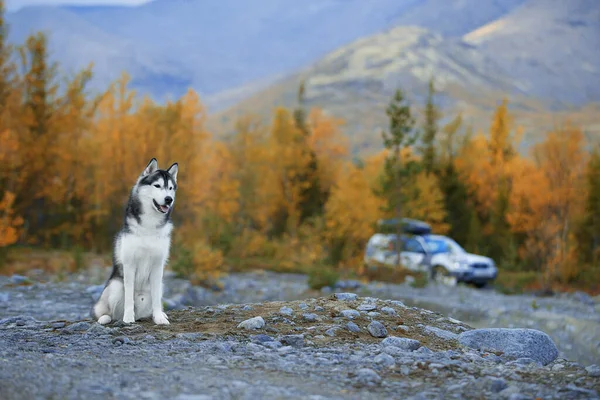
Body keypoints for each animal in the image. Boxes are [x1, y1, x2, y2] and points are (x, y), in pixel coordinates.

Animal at [89, 157, 178, 324]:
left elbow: (157, 299)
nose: (168, 199)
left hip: (161, 285)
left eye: (170, 188)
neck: (150, 225)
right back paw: (109, 318)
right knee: (109, 313)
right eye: (157, 185)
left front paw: (159, 317)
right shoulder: (130, 264)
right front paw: (128, 318)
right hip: (115, 287)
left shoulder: (158, 266)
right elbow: (129, 297)